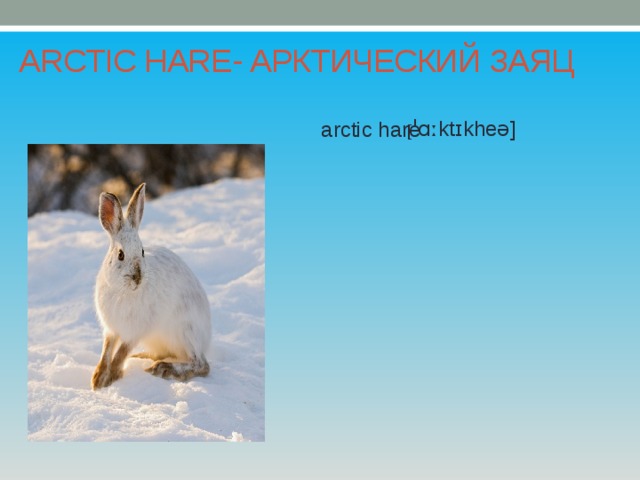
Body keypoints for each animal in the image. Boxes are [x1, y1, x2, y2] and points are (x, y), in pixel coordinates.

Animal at [91, 183, 212, 390]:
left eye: (142, 251)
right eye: (120, 255)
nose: (137, 277)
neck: (123, 291)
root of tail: (206, 338)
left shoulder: (136, 330)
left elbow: (120, 353)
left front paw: (112, 377)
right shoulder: (111, 330)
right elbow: (107, 351)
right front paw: (98, 379)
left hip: (185, 331)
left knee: (202, 365)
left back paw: (164, 369)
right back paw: (142, 357)